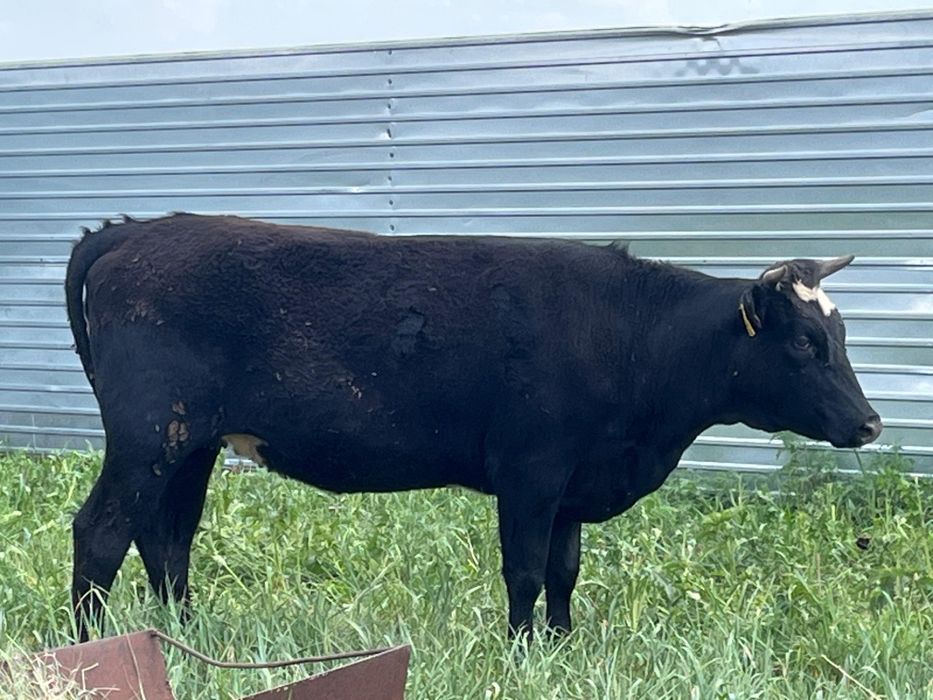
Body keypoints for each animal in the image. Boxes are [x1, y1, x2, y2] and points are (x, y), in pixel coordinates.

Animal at [64, 213, 882, 642]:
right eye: (803, 343)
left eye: (838, 336)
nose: (871, 423)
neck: (629, 335)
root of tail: (135, 232)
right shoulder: (530, 472)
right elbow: (524, 568)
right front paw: (520, 652)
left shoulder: (570, 485)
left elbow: (563, 568)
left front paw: (560, 646)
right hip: (148, 436)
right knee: (102, 530)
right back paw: (91, 647)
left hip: (188, 444)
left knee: (166, 537)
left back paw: (182, 637)